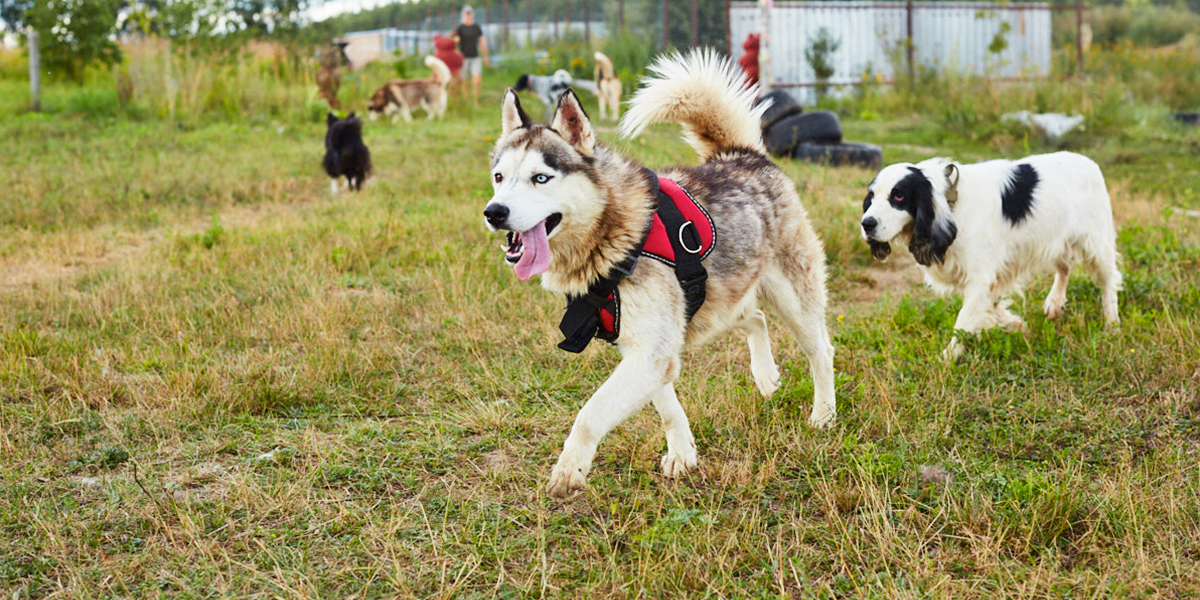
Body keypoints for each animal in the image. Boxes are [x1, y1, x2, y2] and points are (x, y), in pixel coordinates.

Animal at [859, 152, 1118, 357]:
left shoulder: (980, 278)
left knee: (1109, 282)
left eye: (899, 195)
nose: (866, 224)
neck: (950, 203)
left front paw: (947, 358)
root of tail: (1089, 162)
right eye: (871, 196)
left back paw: (1112, 324)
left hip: (1097, 244)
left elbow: (964, 320)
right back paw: (1054, 302)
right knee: (1064, 267)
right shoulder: (991, 274)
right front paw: (1015, 324)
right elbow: (991, 305)